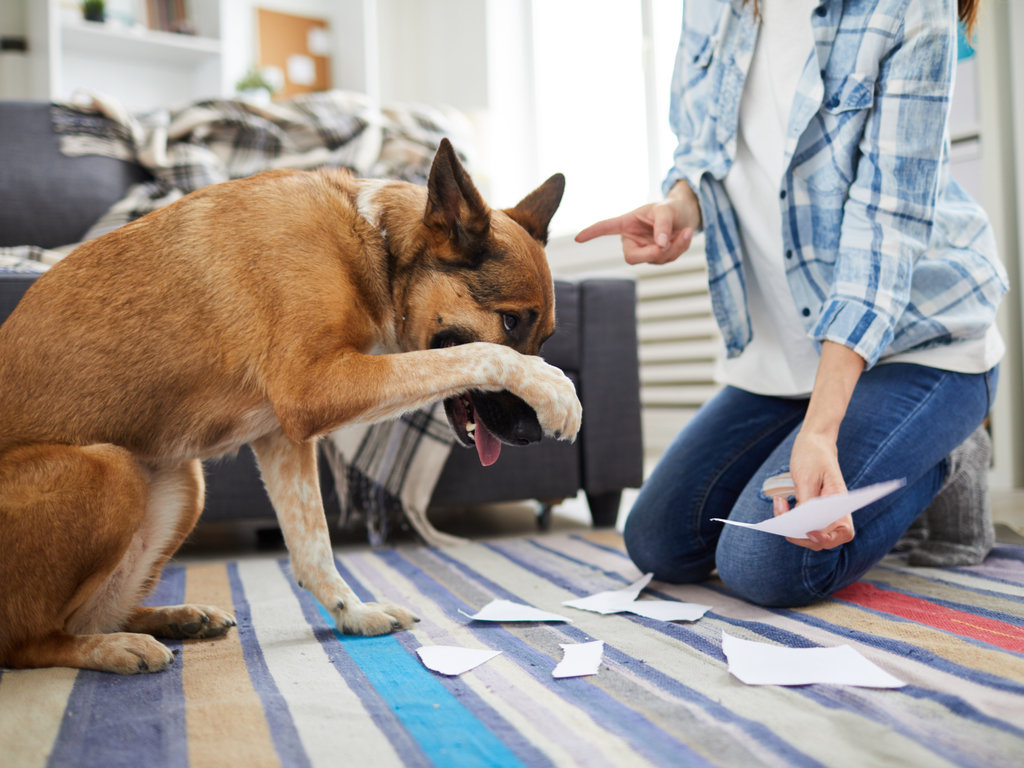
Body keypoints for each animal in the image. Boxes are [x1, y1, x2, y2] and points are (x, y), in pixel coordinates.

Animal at [0, 138, 577, 671]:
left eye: (546, 336)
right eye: (510, 322)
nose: (530, 435)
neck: (374, 242)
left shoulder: (281, 436)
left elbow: (312, 543)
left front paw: (352, 613)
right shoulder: (313, 389)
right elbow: (477, 354)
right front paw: (555, 389)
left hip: (184, 482)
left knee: (89, 615)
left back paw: (176, 618)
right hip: (111, 470)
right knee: (31, 641)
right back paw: (115, 647)